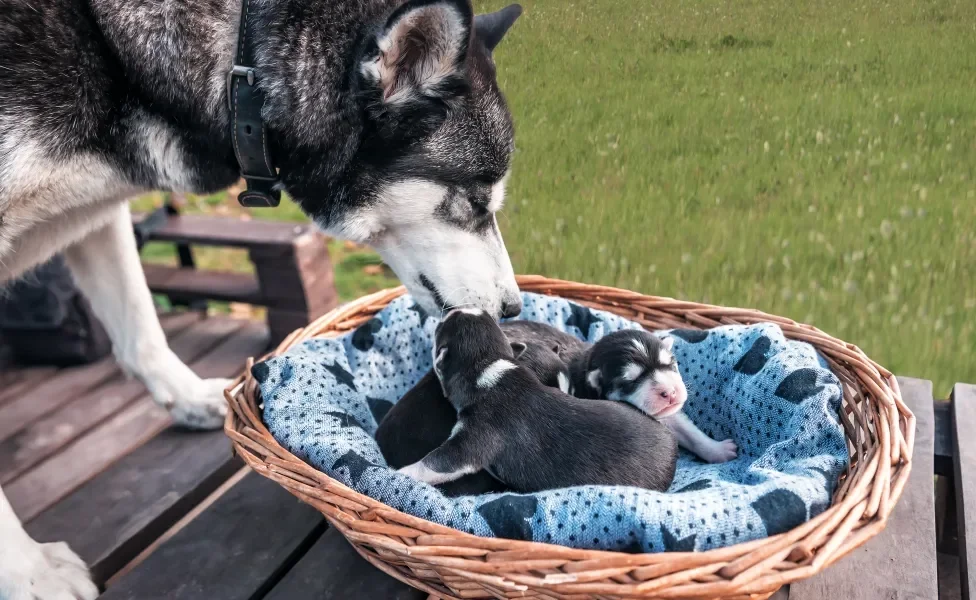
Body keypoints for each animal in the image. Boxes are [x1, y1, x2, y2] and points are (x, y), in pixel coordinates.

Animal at [0, 0, 528, 592]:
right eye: (476, 200)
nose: (513, 307)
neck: (241, 67)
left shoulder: (98, 216)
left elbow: (141, 330)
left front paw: (185, 397)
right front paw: (28, 573)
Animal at [396, 310, 680, 492]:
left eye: (440, 330)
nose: (450, 309)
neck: (491, 367)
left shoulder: (473, 439)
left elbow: (434, 463)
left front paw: (399, 475)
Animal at [568, 328, 736, 464]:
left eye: (670, 364)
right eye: (631, 381)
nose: (670, 392)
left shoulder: (672, 417)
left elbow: (692, 434)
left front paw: (719, 450)